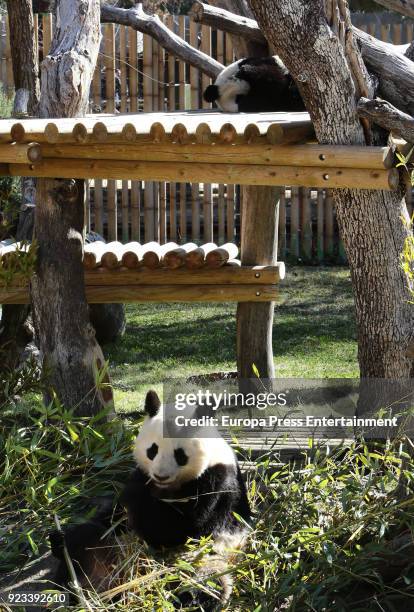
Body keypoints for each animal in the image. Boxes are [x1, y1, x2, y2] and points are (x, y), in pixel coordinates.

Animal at [50, 392, 251, 608]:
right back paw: (70, 569)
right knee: (88, 539)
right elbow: (116, 514)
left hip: (203, 557)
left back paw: (181, 596)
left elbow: (177, 527)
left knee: (206, 582)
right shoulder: (142, 476)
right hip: (108, 548)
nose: (160, 475)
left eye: (180, 455)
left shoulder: (215, 482)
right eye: (152, 450)